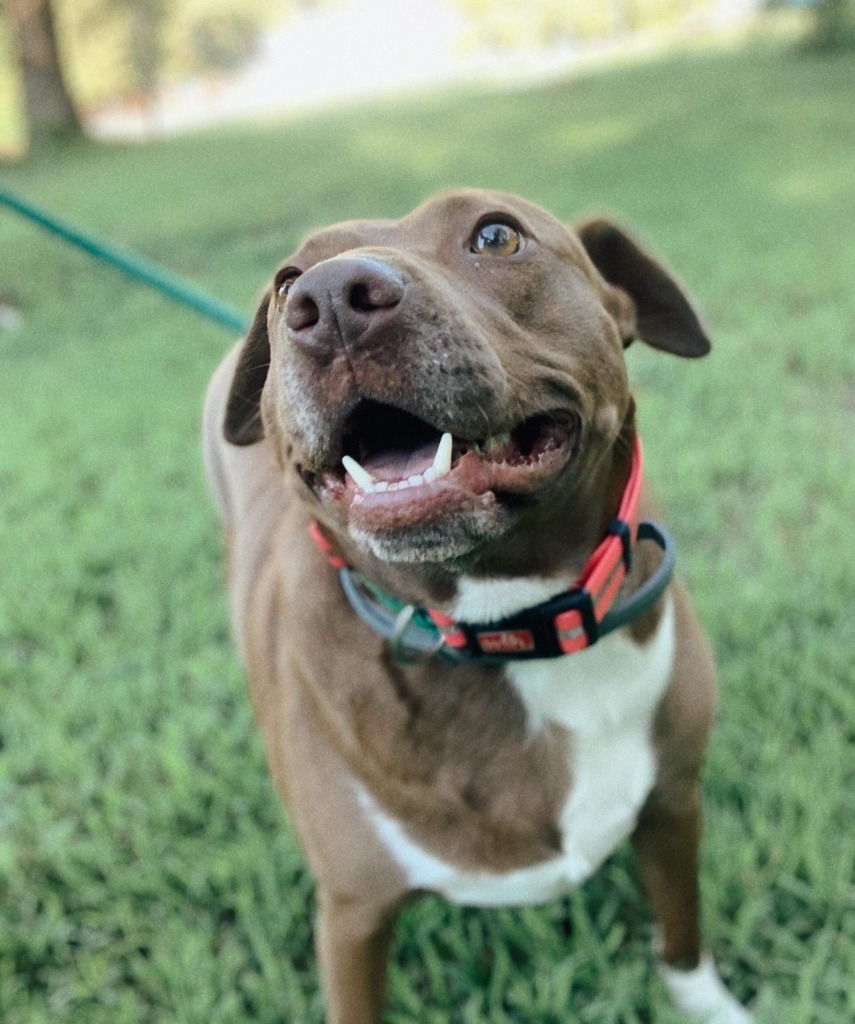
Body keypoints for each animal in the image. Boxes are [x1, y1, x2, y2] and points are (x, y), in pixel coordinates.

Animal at [203, 188, 753, 1019]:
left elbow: (681, 938)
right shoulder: (353, 913)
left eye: (496, 235)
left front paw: (708, 1005)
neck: (508, 622)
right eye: (285, 280)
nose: (327, 301)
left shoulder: (672, 803)